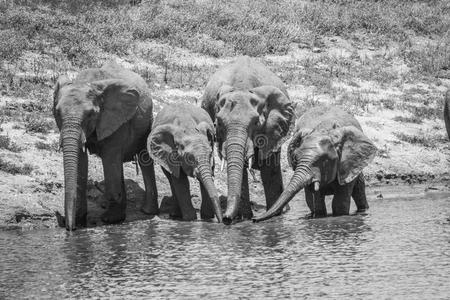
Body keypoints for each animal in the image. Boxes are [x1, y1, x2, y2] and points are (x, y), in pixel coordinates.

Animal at [53, 63, 158, 231]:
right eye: (57, 112)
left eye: (90, 114)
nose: (69, 228)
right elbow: (81, 160)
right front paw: (80, 222)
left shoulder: (116, 118)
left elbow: (110, 157)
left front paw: (111, 220)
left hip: (147, 122)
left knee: (143, 159)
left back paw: (147, 211)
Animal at [201, 56, 296, 225]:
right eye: (218, 123)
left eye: (256, 122)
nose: (225, 219)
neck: (242, 87)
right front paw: (243, 218)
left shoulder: (271, 127)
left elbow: (269, 168)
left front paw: (275, 217)